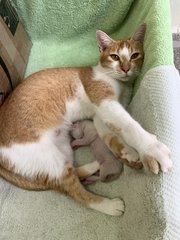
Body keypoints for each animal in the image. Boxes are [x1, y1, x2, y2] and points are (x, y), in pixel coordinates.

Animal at [0, 23, 172, 217]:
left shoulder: (101, 115)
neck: (118, 83)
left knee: (75, 172)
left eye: (134, 55)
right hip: (50, 160)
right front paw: (151, 150)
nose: (126, 68)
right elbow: (129, 126)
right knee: (74, 191)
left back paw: (95, 165)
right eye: (114, 56)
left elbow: (110, 137)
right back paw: (110, 205)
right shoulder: (106, 103)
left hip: (63, 149)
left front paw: (128, 152)